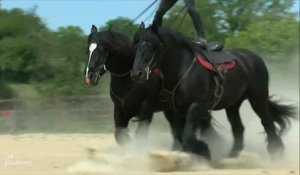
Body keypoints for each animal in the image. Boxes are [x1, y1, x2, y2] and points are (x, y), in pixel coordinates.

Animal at [131, 24, 296, 160]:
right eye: (136, 46)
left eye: (151, 46)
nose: (136, 73)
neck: (183, 70)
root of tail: (254, 58)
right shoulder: (176, 110)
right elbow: (180, 134)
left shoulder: (196, 106)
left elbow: (188, 136)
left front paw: (203, 150)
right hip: (233, 105)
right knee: (238, 128)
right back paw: (231, 156)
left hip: (257, 98)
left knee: (267, 122)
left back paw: (276, 152)